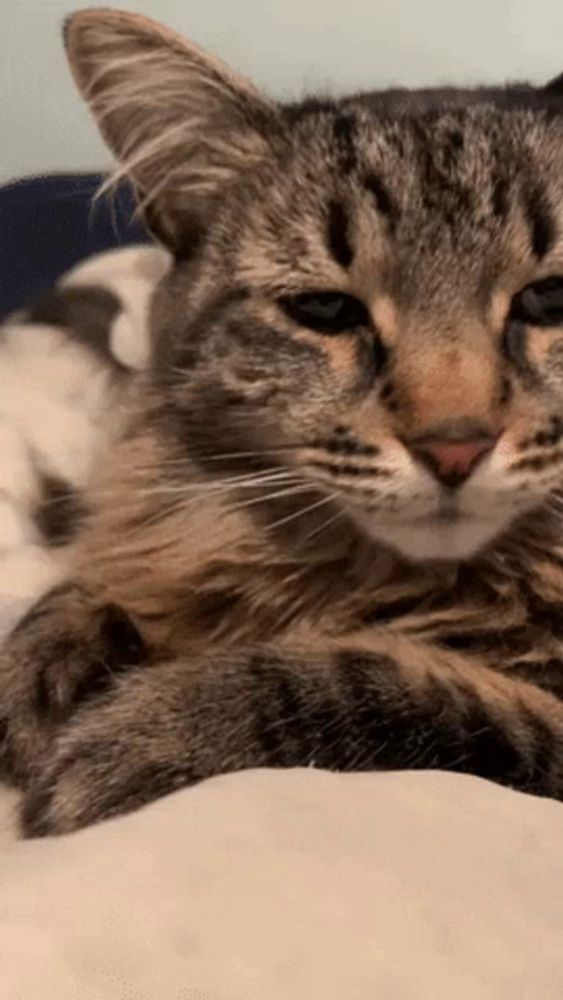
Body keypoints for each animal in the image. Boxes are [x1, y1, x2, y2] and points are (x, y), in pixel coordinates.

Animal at [1, 7, 563, 836]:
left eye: (549, 299)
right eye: (324, 309)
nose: (454, 448)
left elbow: (364, 685)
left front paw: (128, 736)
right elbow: (91, 583)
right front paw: (41, 673)